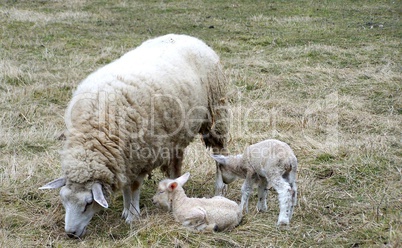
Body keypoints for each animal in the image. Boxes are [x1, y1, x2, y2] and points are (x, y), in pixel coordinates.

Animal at [40, 33, 231, 238]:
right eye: (63, 199)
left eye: (88, 203)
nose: (70, 233)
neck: (94, 133)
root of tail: (188, 37)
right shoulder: (123, 159)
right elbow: (125, 186)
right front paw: (125, 210)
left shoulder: (141, 155)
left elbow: (134, 186)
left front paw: (133, 215)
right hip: (176, 134)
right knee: (176, 161)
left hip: (215, 113)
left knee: (219, 152)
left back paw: (220, 187)